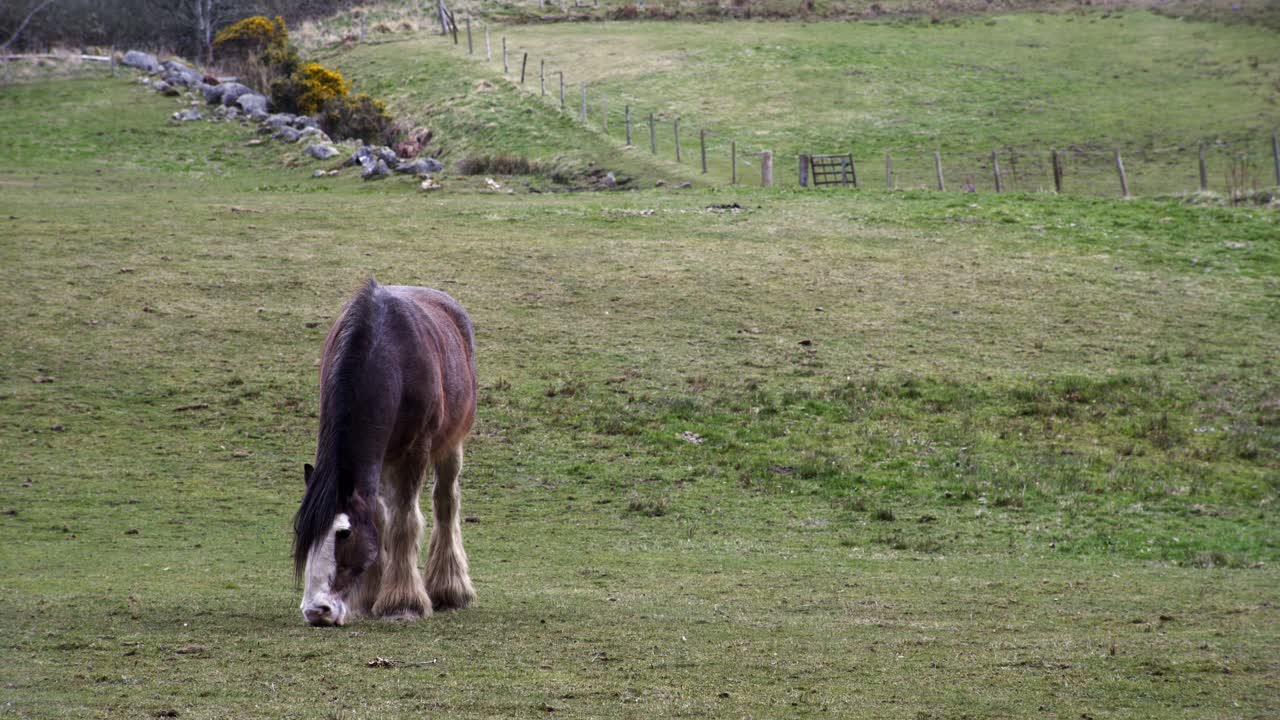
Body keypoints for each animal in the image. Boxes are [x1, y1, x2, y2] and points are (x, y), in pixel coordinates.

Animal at [292, 278, 478, 626]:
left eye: (344, 533)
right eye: (304, 535)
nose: (317, 611)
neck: (387, 355)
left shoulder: (415, 452)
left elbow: (404, 521)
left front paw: (403, 602)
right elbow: (378, 518)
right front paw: (368, 597)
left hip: (449, 444)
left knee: (445, 503)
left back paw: (449, 590)